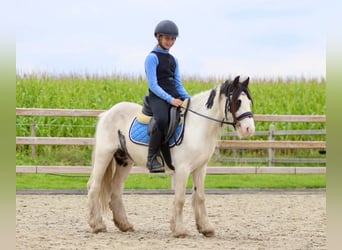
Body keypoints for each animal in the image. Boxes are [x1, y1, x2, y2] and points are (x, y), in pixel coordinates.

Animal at [87, 75, 255, 237]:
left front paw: (206, 228)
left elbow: (200, 197)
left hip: (124, 160)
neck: (197, 126)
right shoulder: (183, 169)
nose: (249, 129)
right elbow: (180, 199)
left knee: (116, 190)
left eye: (249, 101)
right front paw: (180, 230)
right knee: (94, 186)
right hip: (104, 154)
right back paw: (97, 225)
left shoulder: (200, 168)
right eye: (238, 101)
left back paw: (124, 225)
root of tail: (106, 113)